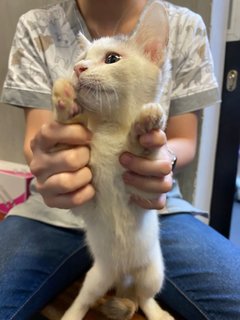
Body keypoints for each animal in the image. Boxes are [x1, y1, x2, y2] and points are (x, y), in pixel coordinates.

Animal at [52, 2, 172, 320]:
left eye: (112, 59)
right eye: (81, 59)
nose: (77, 69)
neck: (109, 130)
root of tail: (123, 277)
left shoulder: (143, 194)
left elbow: (143, 154)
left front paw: (143, 130)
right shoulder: (86, 204)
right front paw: (64, 99)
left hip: (153, 272)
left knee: (144, 298)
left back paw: (156, 312)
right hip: (97, 276)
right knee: (86, 298)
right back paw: (72, 314)